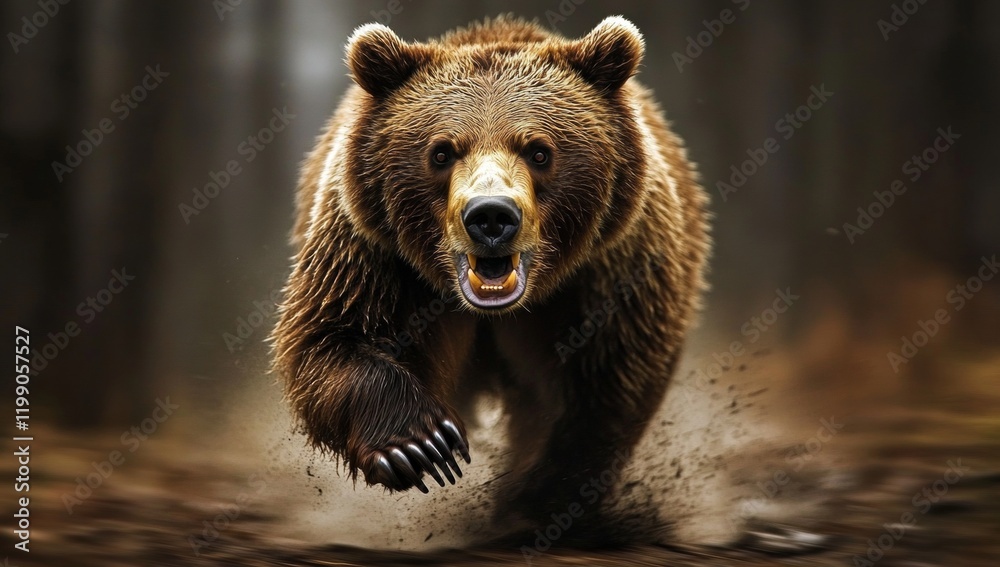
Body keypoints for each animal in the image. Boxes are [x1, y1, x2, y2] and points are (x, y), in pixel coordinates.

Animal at [271, 14, 710, 537]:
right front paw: (419, 446)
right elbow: (330, 337)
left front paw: (537, 498)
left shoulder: (611, 270)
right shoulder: (373, 252)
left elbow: (605, 386)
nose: (491, 215)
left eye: (539, 151)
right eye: (441, 152)